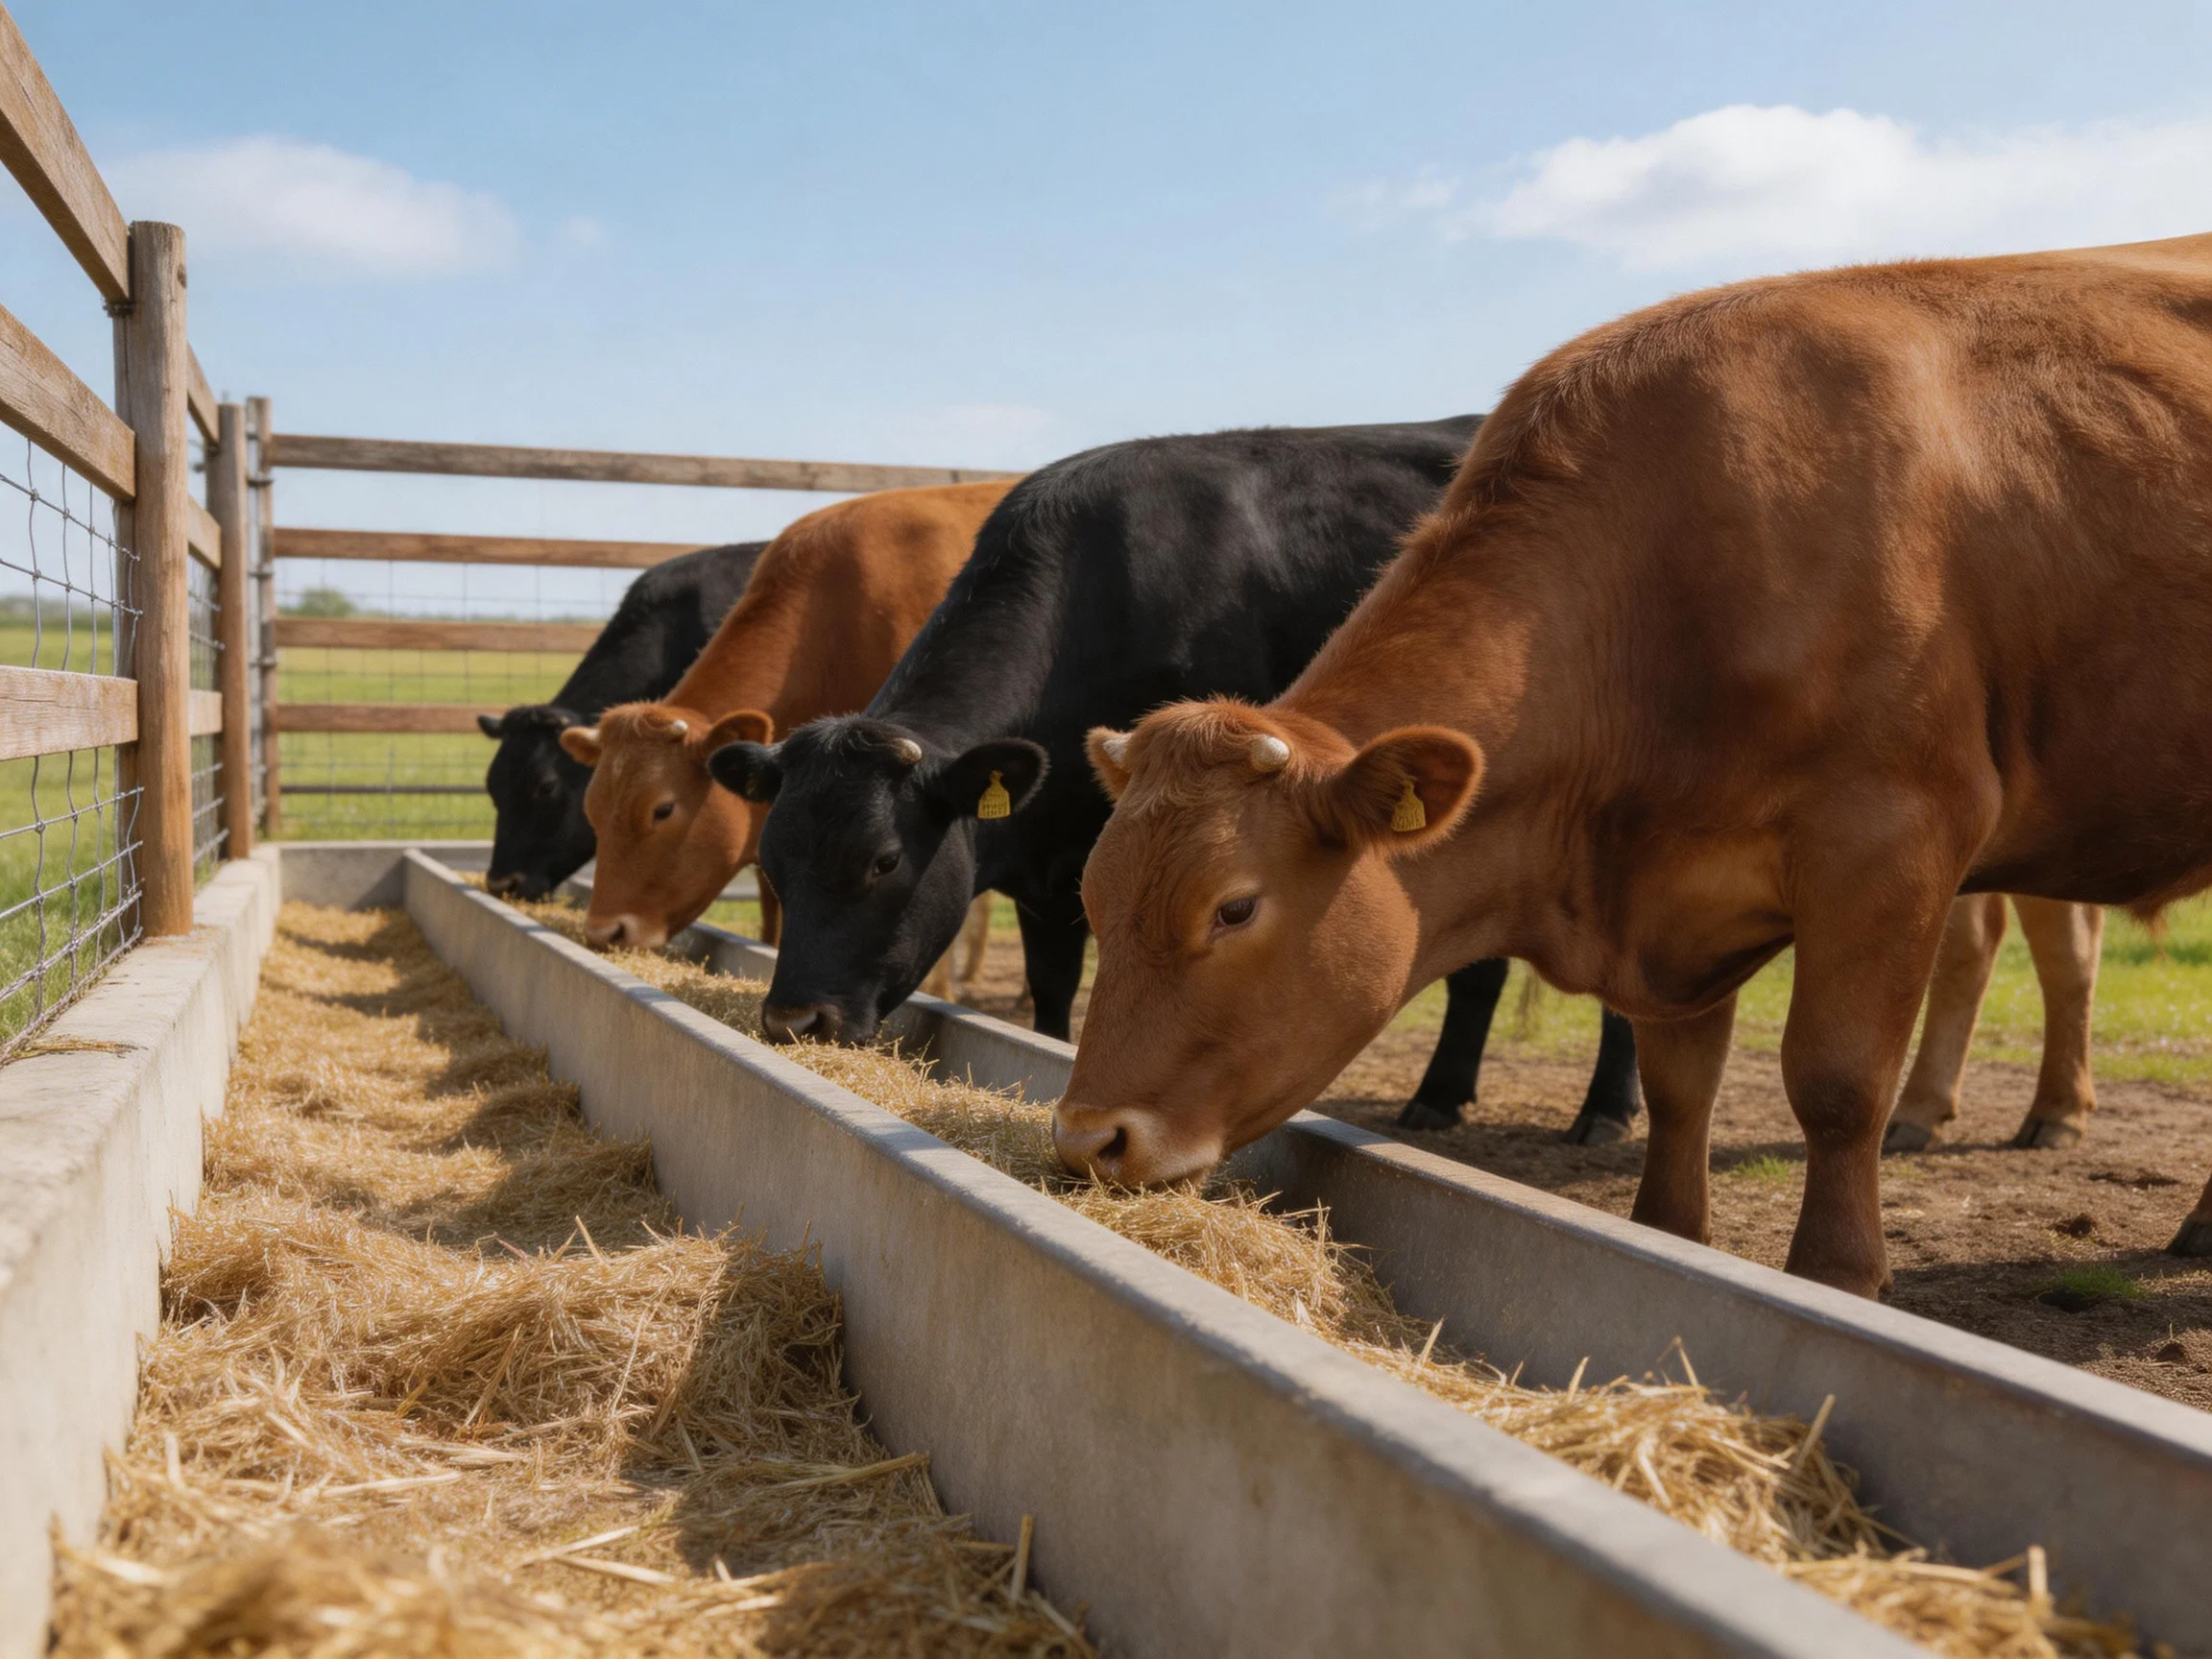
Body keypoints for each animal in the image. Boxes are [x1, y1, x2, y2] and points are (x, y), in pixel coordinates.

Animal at [1057, 234, 2212, 1297]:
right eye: (1095, 898)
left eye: (1234, 908)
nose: (1086, 1139)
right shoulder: (1682, 900)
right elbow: (1680, 1089)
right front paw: (1673, 1242)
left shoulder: (1895, 838)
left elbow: (1837, 1084)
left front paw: (1835, 1281)